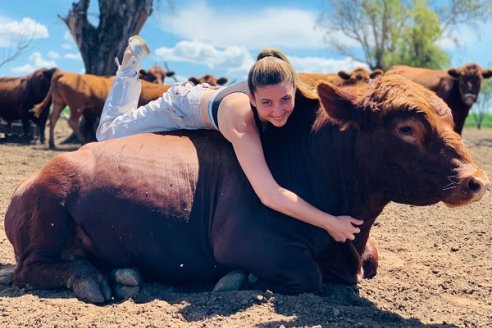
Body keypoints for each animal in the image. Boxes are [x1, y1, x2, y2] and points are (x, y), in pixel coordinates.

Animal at [32, 72, 171, 150]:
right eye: (151, 74)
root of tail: (65, 73)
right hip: (76, 107)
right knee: (72, 121)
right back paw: (83, 141)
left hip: (59, 102)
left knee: (53, 118)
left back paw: (52, 143)